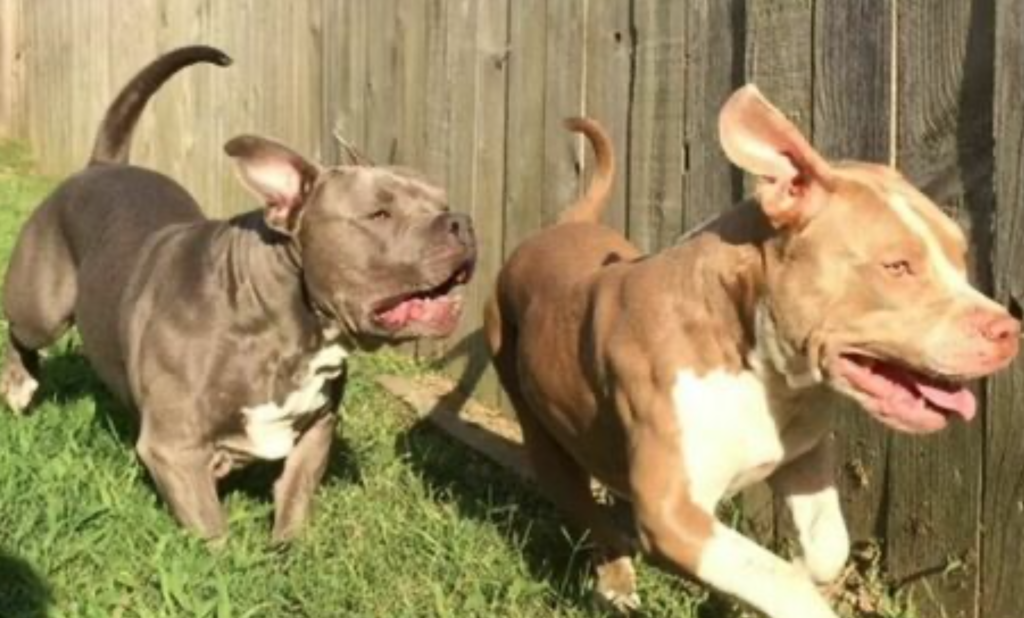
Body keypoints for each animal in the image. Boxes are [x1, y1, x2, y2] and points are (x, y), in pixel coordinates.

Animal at [0, 46, 476, 542]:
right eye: (380, 214)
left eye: (442, 204)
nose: (461, 221)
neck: (282, 322)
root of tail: (102, 166)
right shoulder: (175, 447)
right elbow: (212, 531)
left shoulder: (316, 431)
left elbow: (294, 501)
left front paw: (288, 551)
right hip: (42, 310)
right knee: (19, 331)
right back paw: (19, 384)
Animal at [484, 85, 1018, 617]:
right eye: (898, 266)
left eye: (960, 255)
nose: (1009, 329)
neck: (764, 369)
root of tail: (558, 228)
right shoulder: (671, 514)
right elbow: (782, 584)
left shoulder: (802, 456)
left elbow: (825, 547)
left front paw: (794, 569)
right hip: (545, 440)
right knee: (592, 516)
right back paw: (616, 583)